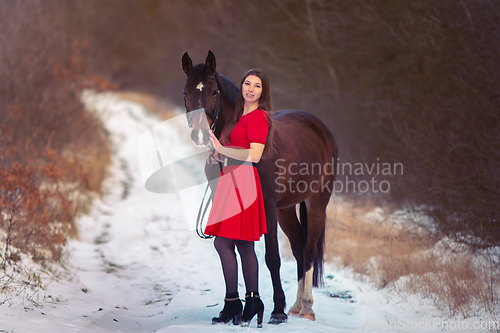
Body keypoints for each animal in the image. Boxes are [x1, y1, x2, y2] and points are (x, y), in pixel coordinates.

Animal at [182, 51, 338, 322]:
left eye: (214, 91)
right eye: (186, 92)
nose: (201, 134)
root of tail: (320, 128)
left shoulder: (268, 207)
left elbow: (271, 257)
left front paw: (276, 310)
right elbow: (237, 250)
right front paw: (238, 309)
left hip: (316, 202)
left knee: (308, 251)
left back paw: (306, 308)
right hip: (286, 209)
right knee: (298, 248)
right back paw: (296, 305)